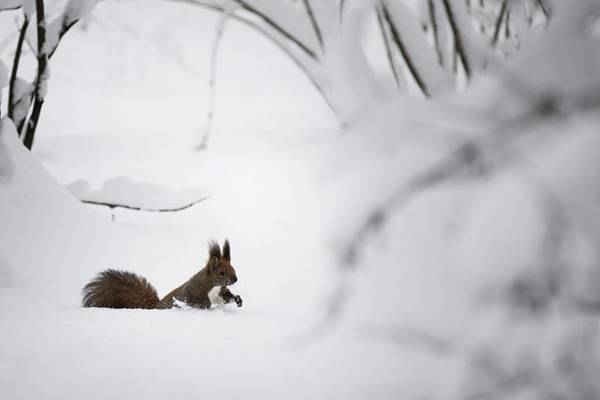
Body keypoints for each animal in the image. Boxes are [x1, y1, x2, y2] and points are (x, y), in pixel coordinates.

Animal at [81, 241, 241, 310]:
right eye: (221, 273)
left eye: (233, 268)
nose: (235, 279)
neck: (213, 285)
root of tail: (156, 307)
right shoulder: (194, 291)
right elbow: (195, 301)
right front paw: (206, 306)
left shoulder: (221, 293)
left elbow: (226, 298)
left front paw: (238, 300)